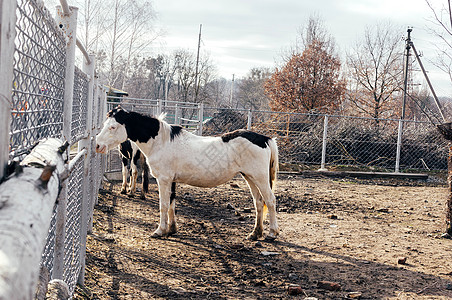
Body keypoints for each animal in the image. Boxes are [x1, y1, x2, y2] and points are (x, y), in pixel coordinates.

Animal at [96, 106, 278, 240]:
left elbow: (163, 205)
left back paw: (271, 234)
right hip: (250, 177)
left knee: (270, 200)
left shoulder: (164, 180)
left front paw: (159, 231)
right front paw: (172, 229)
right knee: (258, 202)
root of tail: (265, 139)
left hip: (260, 178)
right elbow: (171, 204)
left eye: (113, 127)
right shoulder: (172, 180)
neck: (161, 141)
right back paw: (255, 233)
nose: (97, 145)